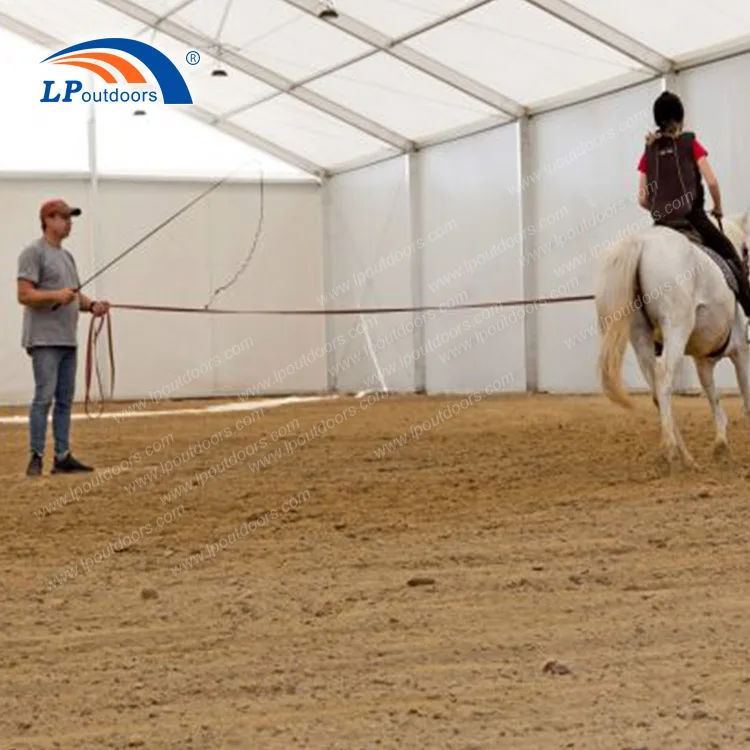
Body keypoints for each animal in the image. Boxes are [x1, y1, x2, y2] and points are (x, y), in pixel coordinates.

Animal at [595, 211, 750, 469]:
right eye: (746, 250)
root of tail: (641, 243)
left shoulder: (702, 362)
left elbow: (714, 397)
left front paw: (720, 444)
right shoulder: (741, 353)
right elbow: (745, 395)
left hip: (640, 337)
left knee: (657, 391)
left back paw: (685, 456)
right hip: (676, 328)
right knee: (664, 378)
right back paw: (670, 449)